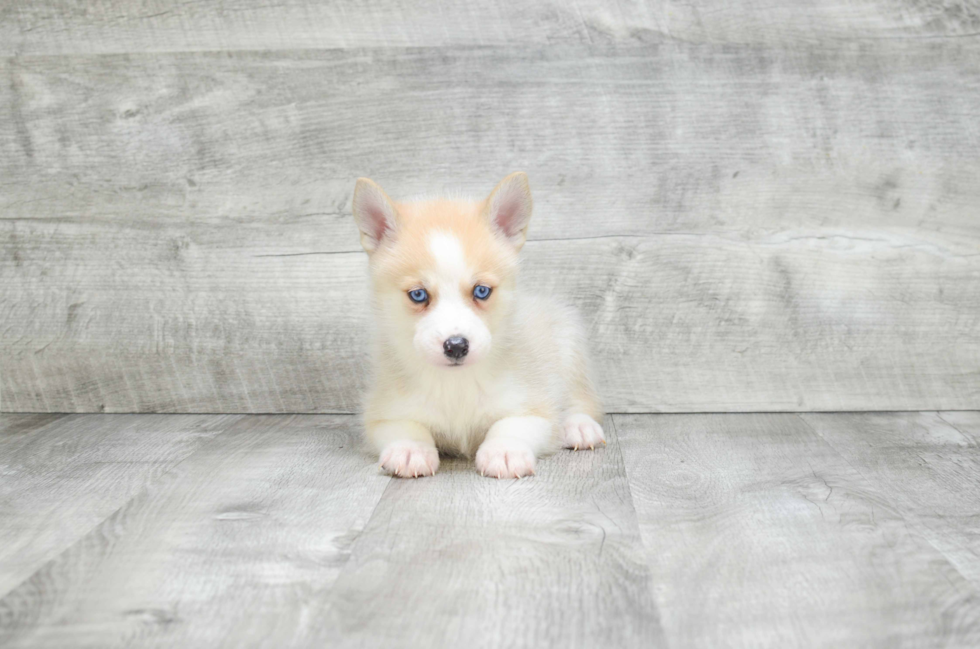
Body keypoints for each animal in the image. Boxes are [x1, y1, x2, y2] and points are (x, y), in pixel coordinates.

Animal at [348, 171, 600, 476]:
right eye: (418, 294)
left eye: (481, 291)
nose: (456, 346)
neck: (456, 385)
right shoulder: (383, 414)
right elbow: (407, 427)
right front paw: (410, 449)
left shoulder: (534, 408)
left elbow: (510, 425)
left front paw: (505, 451)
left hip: (569, 346)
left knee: (581, 399)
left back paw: (580, 427)